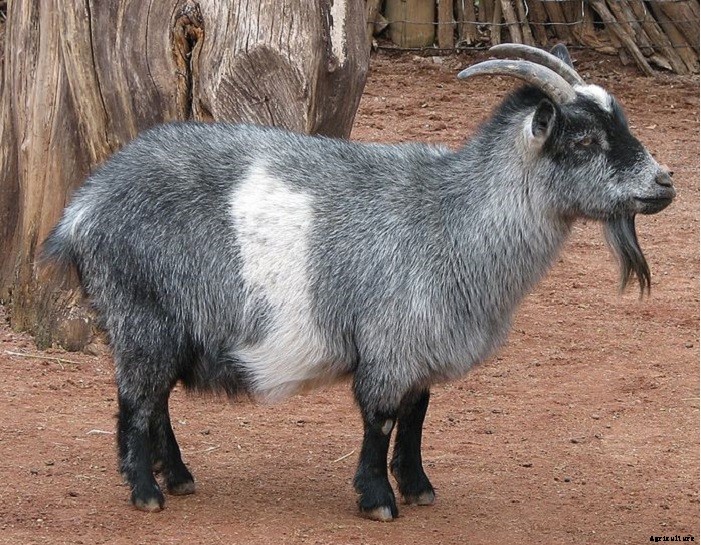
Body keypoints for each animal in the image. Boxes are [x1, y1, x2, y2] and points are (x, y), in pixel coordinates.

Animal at [43, 44, 675, 521]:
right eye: (584, 141)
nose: (665, 182)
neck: (451, 217)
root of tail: (82, 210)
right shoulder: (390, 342)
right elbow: (381, 418)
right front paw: (378, 499)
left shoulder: (421, 346)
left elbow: (417, 414)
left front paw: (418, 487)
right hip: (140, 317)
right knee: (136, 400)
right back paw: (146, 492)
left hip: (169, 326)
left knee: (158, 399)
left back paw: (177, 477)